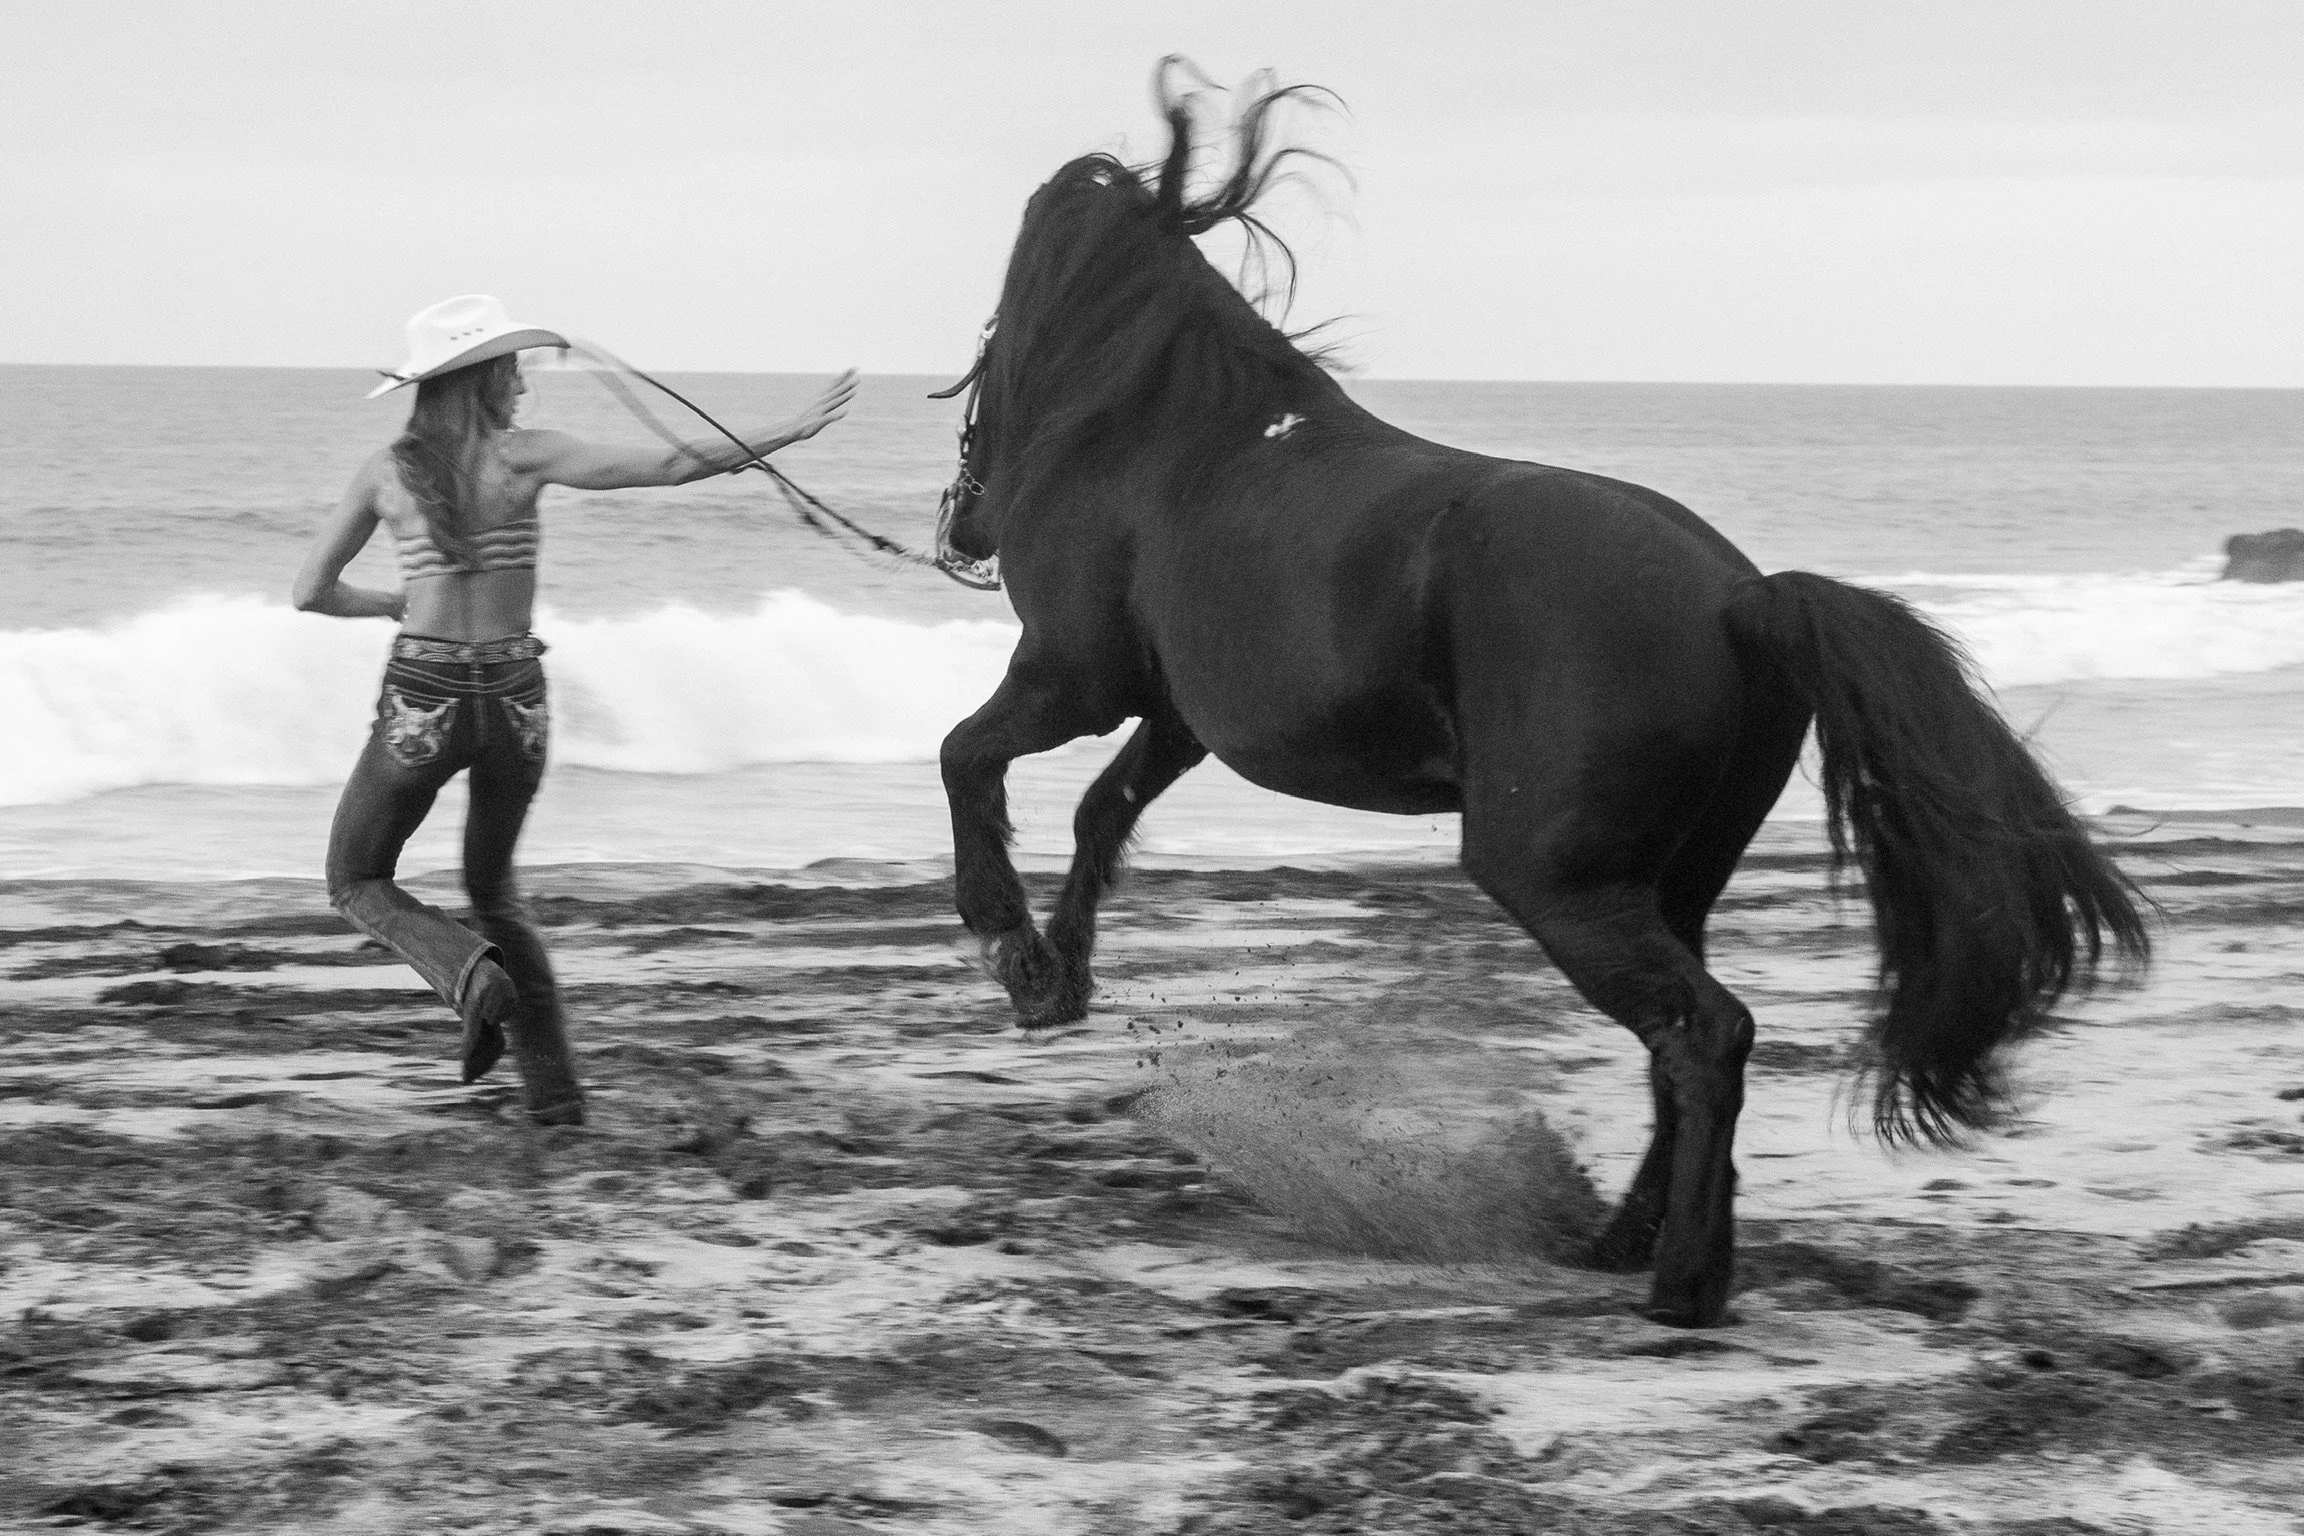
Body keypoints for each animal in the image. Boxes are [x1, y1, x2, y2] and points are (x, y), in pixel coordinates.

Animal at [930, 65, 2149, 1326]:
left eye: (987, 341)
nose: (962, 526)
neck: (1169, 438)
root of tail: (1740, 597)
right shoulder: (1176, 716)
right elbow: (1099, 812)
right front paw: (1054, 980)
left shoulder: (1072, 676)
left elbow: (969, 757)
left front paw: (1005, 938)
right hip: (1661, 881)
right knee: (1683, 1043)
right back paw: (1619, 1243)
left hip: (1547, 875)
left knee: (1706, 1032)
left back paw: (1682, 1282)